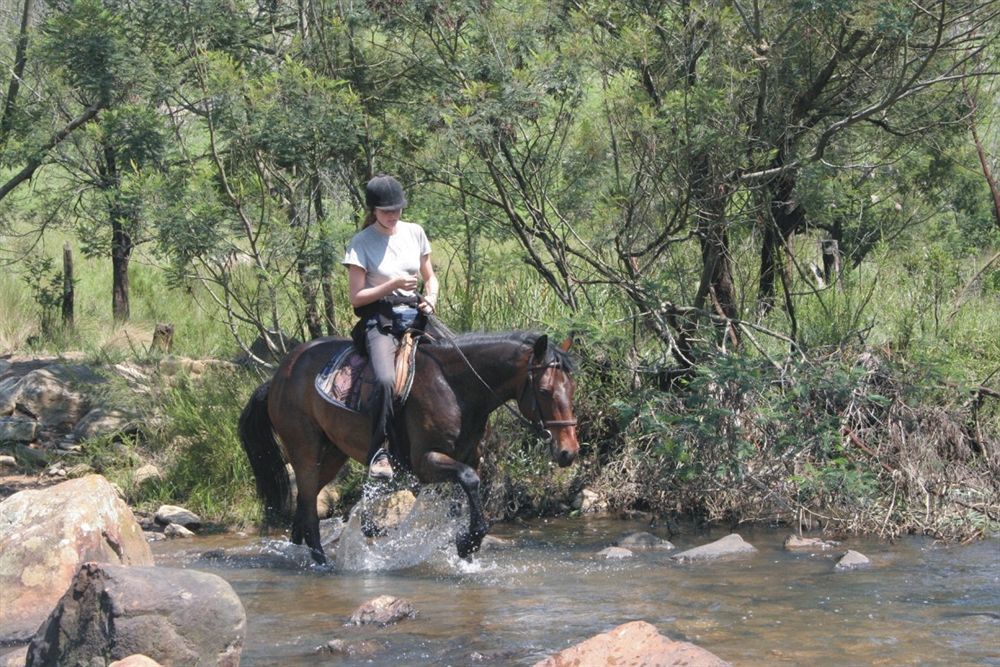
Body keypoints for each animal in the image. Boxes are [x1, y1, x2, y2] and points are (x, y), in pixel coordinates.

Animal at [237, 328, 580, 564]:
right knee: (308, 510)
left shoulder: (469, 458)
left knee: (304, 505)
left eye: (572, 387)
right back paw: (323, 564)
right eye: (545, 391)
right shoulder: (427, 462)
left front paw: (466, 548)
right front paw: (467, 543)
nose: (569, 452)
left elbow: (465, 498)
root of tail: (278, 376)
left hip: (332, 454)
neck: (456, 389)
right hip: (305, 451)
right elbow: (469, 481)